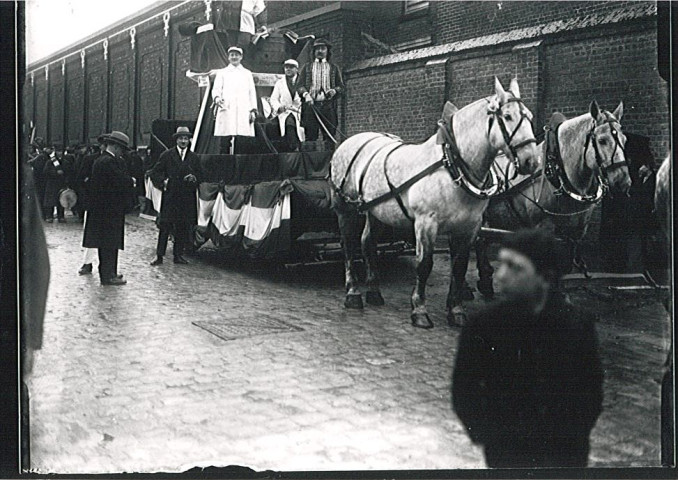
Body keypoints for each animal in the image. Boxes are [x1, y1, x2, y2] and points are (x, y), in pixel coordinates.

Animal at [332, 77, 540, 328]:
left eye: (529, 116)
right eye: (508, 116)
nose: (531, 161)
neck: (452, 166)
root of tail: (348, 141)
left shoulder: (469, 227)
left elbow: (459, 267)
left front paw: (456, 310)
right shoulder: (426, 223)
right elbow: (424, 265)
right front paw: (419, 310)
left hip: (376, 211)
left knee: (367, 243)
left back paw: (373, 292)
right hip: (346, 209)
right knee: (349, 246)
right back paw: (353, 293)